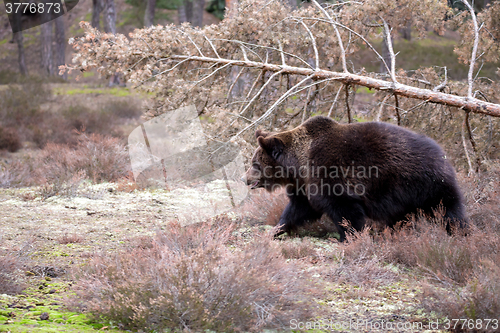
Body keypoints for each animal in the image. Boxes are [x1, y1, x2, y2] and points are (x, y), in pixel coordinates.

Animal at [244, 115, 466, 240]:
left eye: (255, 163)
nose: (244, 179)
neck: (298, 166)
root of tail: (443, 153)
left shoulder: (330, 176)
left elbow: (345, 211)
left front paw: (349, 237)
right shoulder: (304, 186)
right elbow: (298, 209)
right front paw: (275, 230)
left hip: (425, 184)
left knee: (448, 211)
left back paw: (460, 233)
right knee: (402, 218)